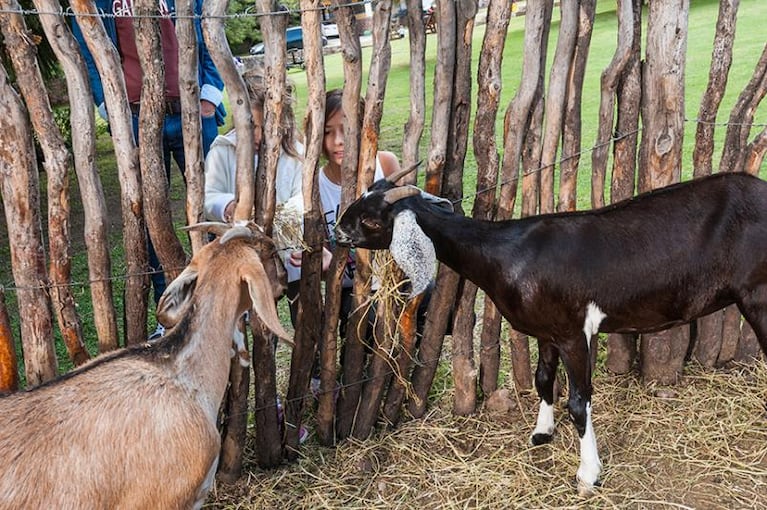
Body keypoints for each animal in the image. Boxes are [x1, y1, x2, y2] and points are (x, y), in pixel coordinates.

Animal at [340, 170, 767, 494]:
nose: (338, 231)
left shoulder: (573, 331)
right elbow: (545, 380)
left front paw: (588, 474)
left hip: (758, 295)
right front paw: (542, 432)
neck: (507, 255)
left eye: (373, 220)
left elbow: (578, 402)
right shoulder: (545, 331)